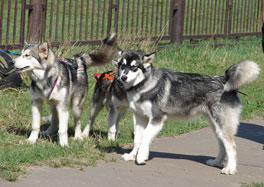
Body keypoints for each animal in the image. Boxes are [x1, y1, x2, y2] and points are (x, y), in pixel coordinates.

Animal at [117, 50, 260, 175]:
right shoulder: (139, 118)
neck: (144, 85)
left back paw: (230, 168)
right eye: (122, 65)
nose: (122, 77)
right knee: (222, 145)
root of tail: (223, 79)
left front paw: (141, 157)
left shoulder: (156, 118)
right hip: (216, 126)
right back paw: (216, 162)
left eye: (134, 67)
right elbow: (137, 139)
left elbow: (145, 138)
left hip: (222, 125)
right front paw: (132, 155)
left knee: (231, 146)